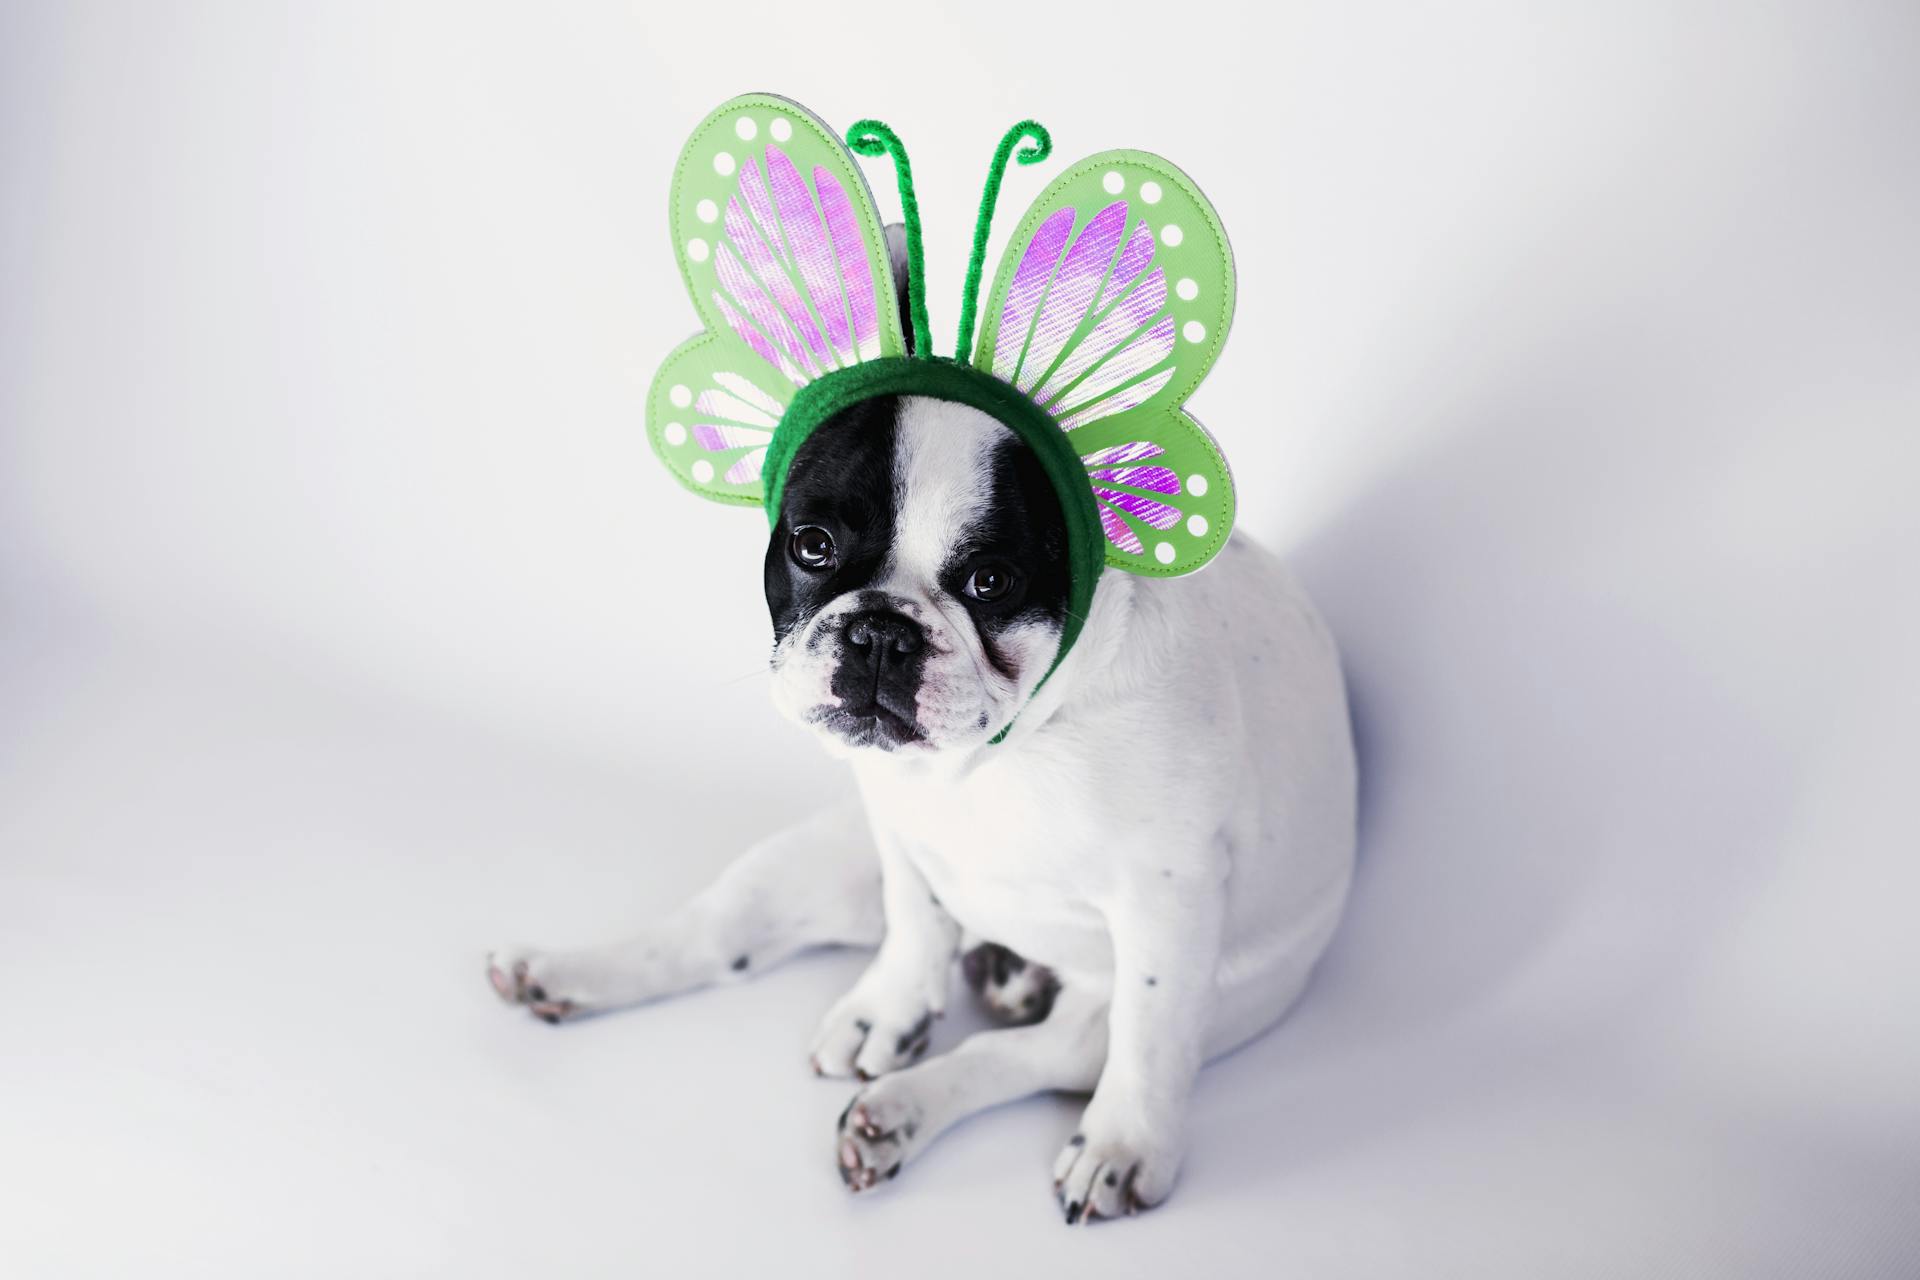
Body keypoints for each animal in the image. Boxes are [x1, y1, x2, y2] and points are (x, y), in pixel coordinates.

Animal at [495, 235, 1367, 1228]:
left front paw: (1126, 1145)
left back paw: (901, 1114)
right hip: (812, 862)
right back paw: (563, 973)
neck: (1006, 749)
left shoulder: (1168, 899)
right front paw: (892, 1004)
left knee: (1033, 1054)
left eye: (991, 581)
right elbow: (915, 921)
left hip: (1176, 1000)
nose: (882, 631)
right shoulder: (896, 825)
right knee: (712, 939)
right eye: (812, 545)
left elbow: (1146, 1039)